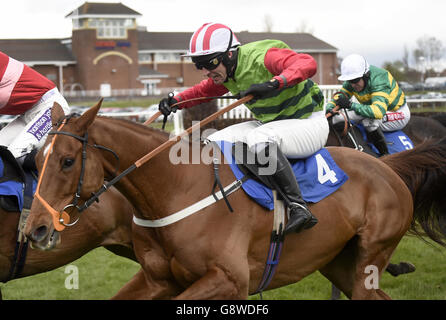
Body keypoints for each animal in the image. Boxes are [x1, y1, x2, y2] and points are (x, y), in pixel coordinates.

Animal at [23, 102, 446, 300]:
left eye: (67, 161)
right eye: (36, 161)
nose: (35, 229)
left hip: (370, 257)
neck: (175, 189)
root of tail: (387, 166)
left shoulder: (229, 281)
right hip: (338, 261)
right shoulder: (157, 279)